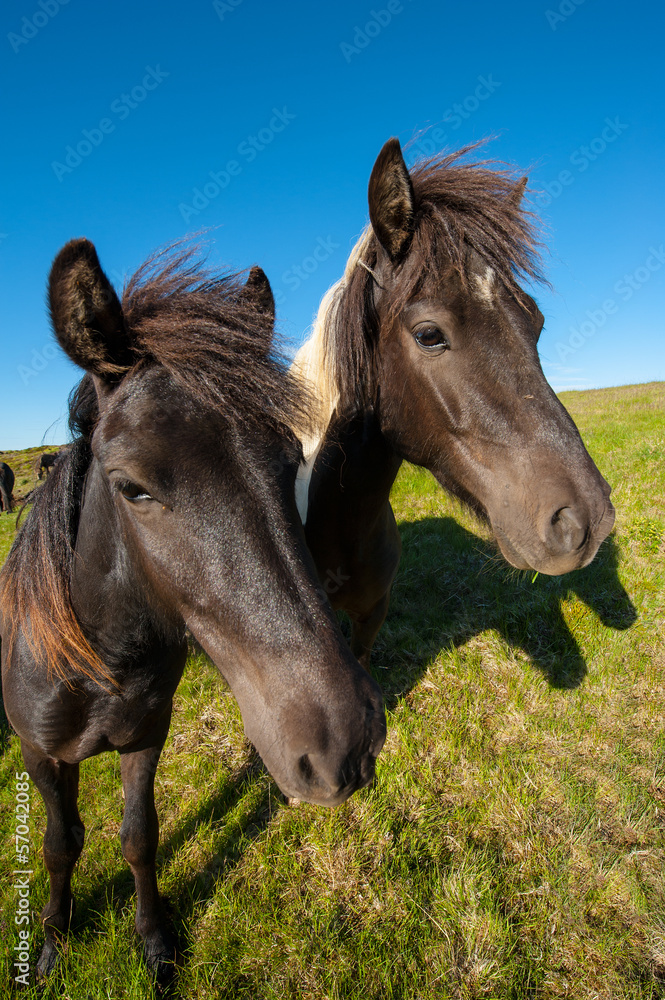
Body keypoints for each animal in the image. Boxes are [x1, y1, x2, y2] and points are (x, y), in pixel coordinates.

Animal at [0, 239, 386, 981]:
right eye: (132, 488)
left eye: (290, 458)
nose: (343, 744)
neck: (100, 663)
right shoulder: (40, 755)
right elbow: (61, 843)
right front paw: (53, 940)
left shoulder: (146, 737)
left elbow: (138, 837)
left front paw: (153, 942)